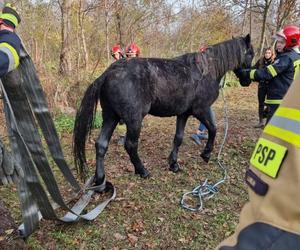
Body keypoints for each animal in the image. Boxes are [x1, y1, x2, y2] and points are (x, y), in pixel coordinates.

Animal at [73, 33, 253, 189]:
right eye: (250, 53)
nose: (247, 81)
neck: (206, 70)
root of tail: (108, 73)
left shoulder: (183, 114)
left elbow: (178, 138)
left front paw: (173, 164)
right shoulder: (201, 110)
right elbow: (213, 129)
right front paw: (206, 154)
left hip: (111, 117)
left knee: (101, 145)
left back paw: (100, 180)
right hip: (133, 120)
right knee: (130, 145)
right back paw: (142, 171)